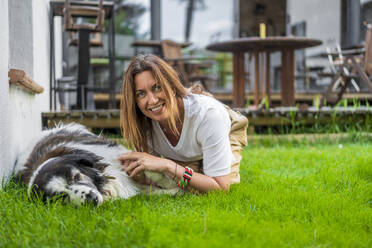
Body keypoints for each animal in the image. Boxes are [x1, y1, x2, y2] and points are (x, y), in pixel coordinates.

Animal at [14, 122, 177, 205]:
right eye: (61, 198)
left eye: (76, 177)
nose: (91, 199)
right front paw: (173, 191)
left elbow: (147, 168)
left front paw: (172, 182)